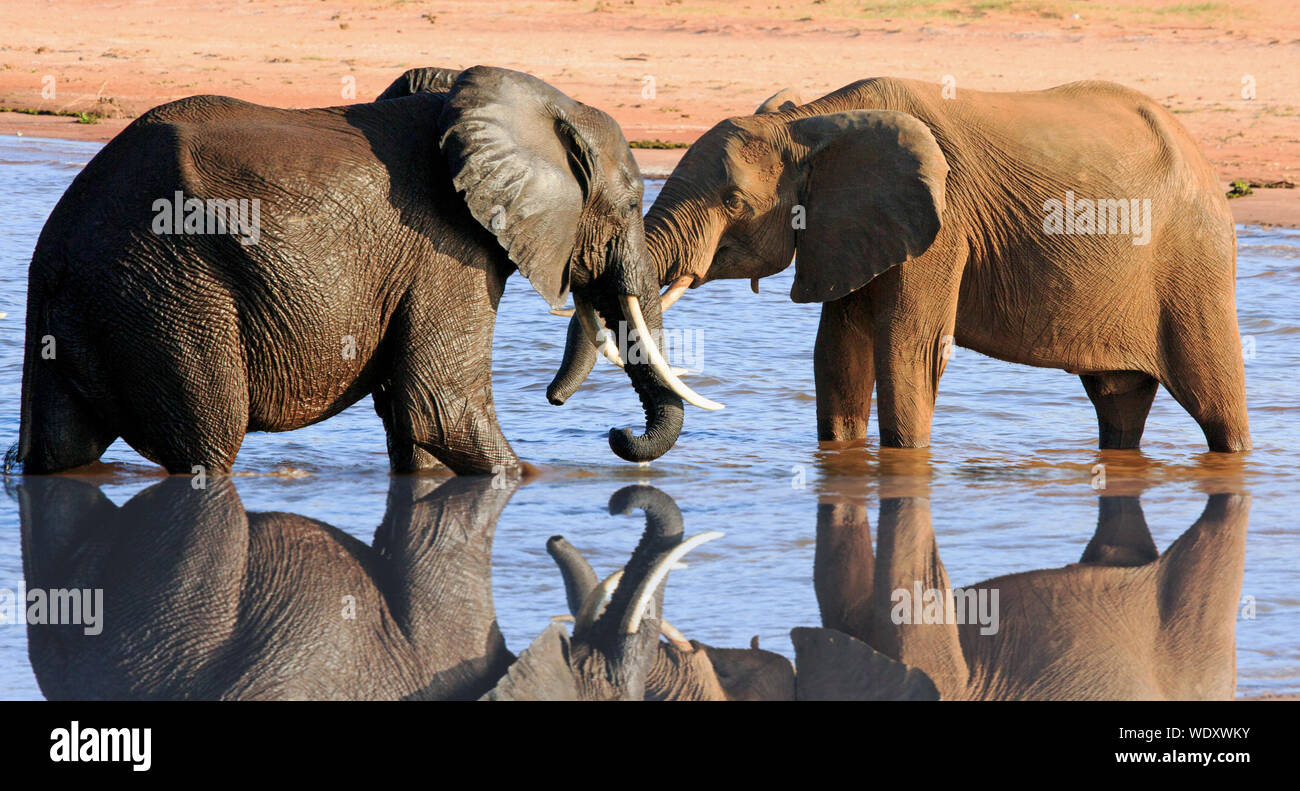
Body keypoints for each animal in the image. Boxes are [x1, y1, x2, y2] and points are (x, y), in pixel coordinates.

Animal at [8, 65, 719, 477]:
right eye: (632, 203)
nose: (614, 434)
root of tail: (54, 247)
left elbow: (413, 420)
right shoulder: (445, 249)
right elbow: (440, 406)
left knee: (61, 451)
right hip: (165, 294)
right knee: (208, 443)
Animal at [550, 77, 1250, 454]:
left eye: (731, 202)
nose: (614, 434)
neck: (812, 123)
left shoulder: (944, 224)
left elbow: (909, 348)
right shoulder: (850, 230)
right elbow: (837, 351)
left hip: (1194, 265)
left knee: (1214, 398)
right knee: (1118, 402)